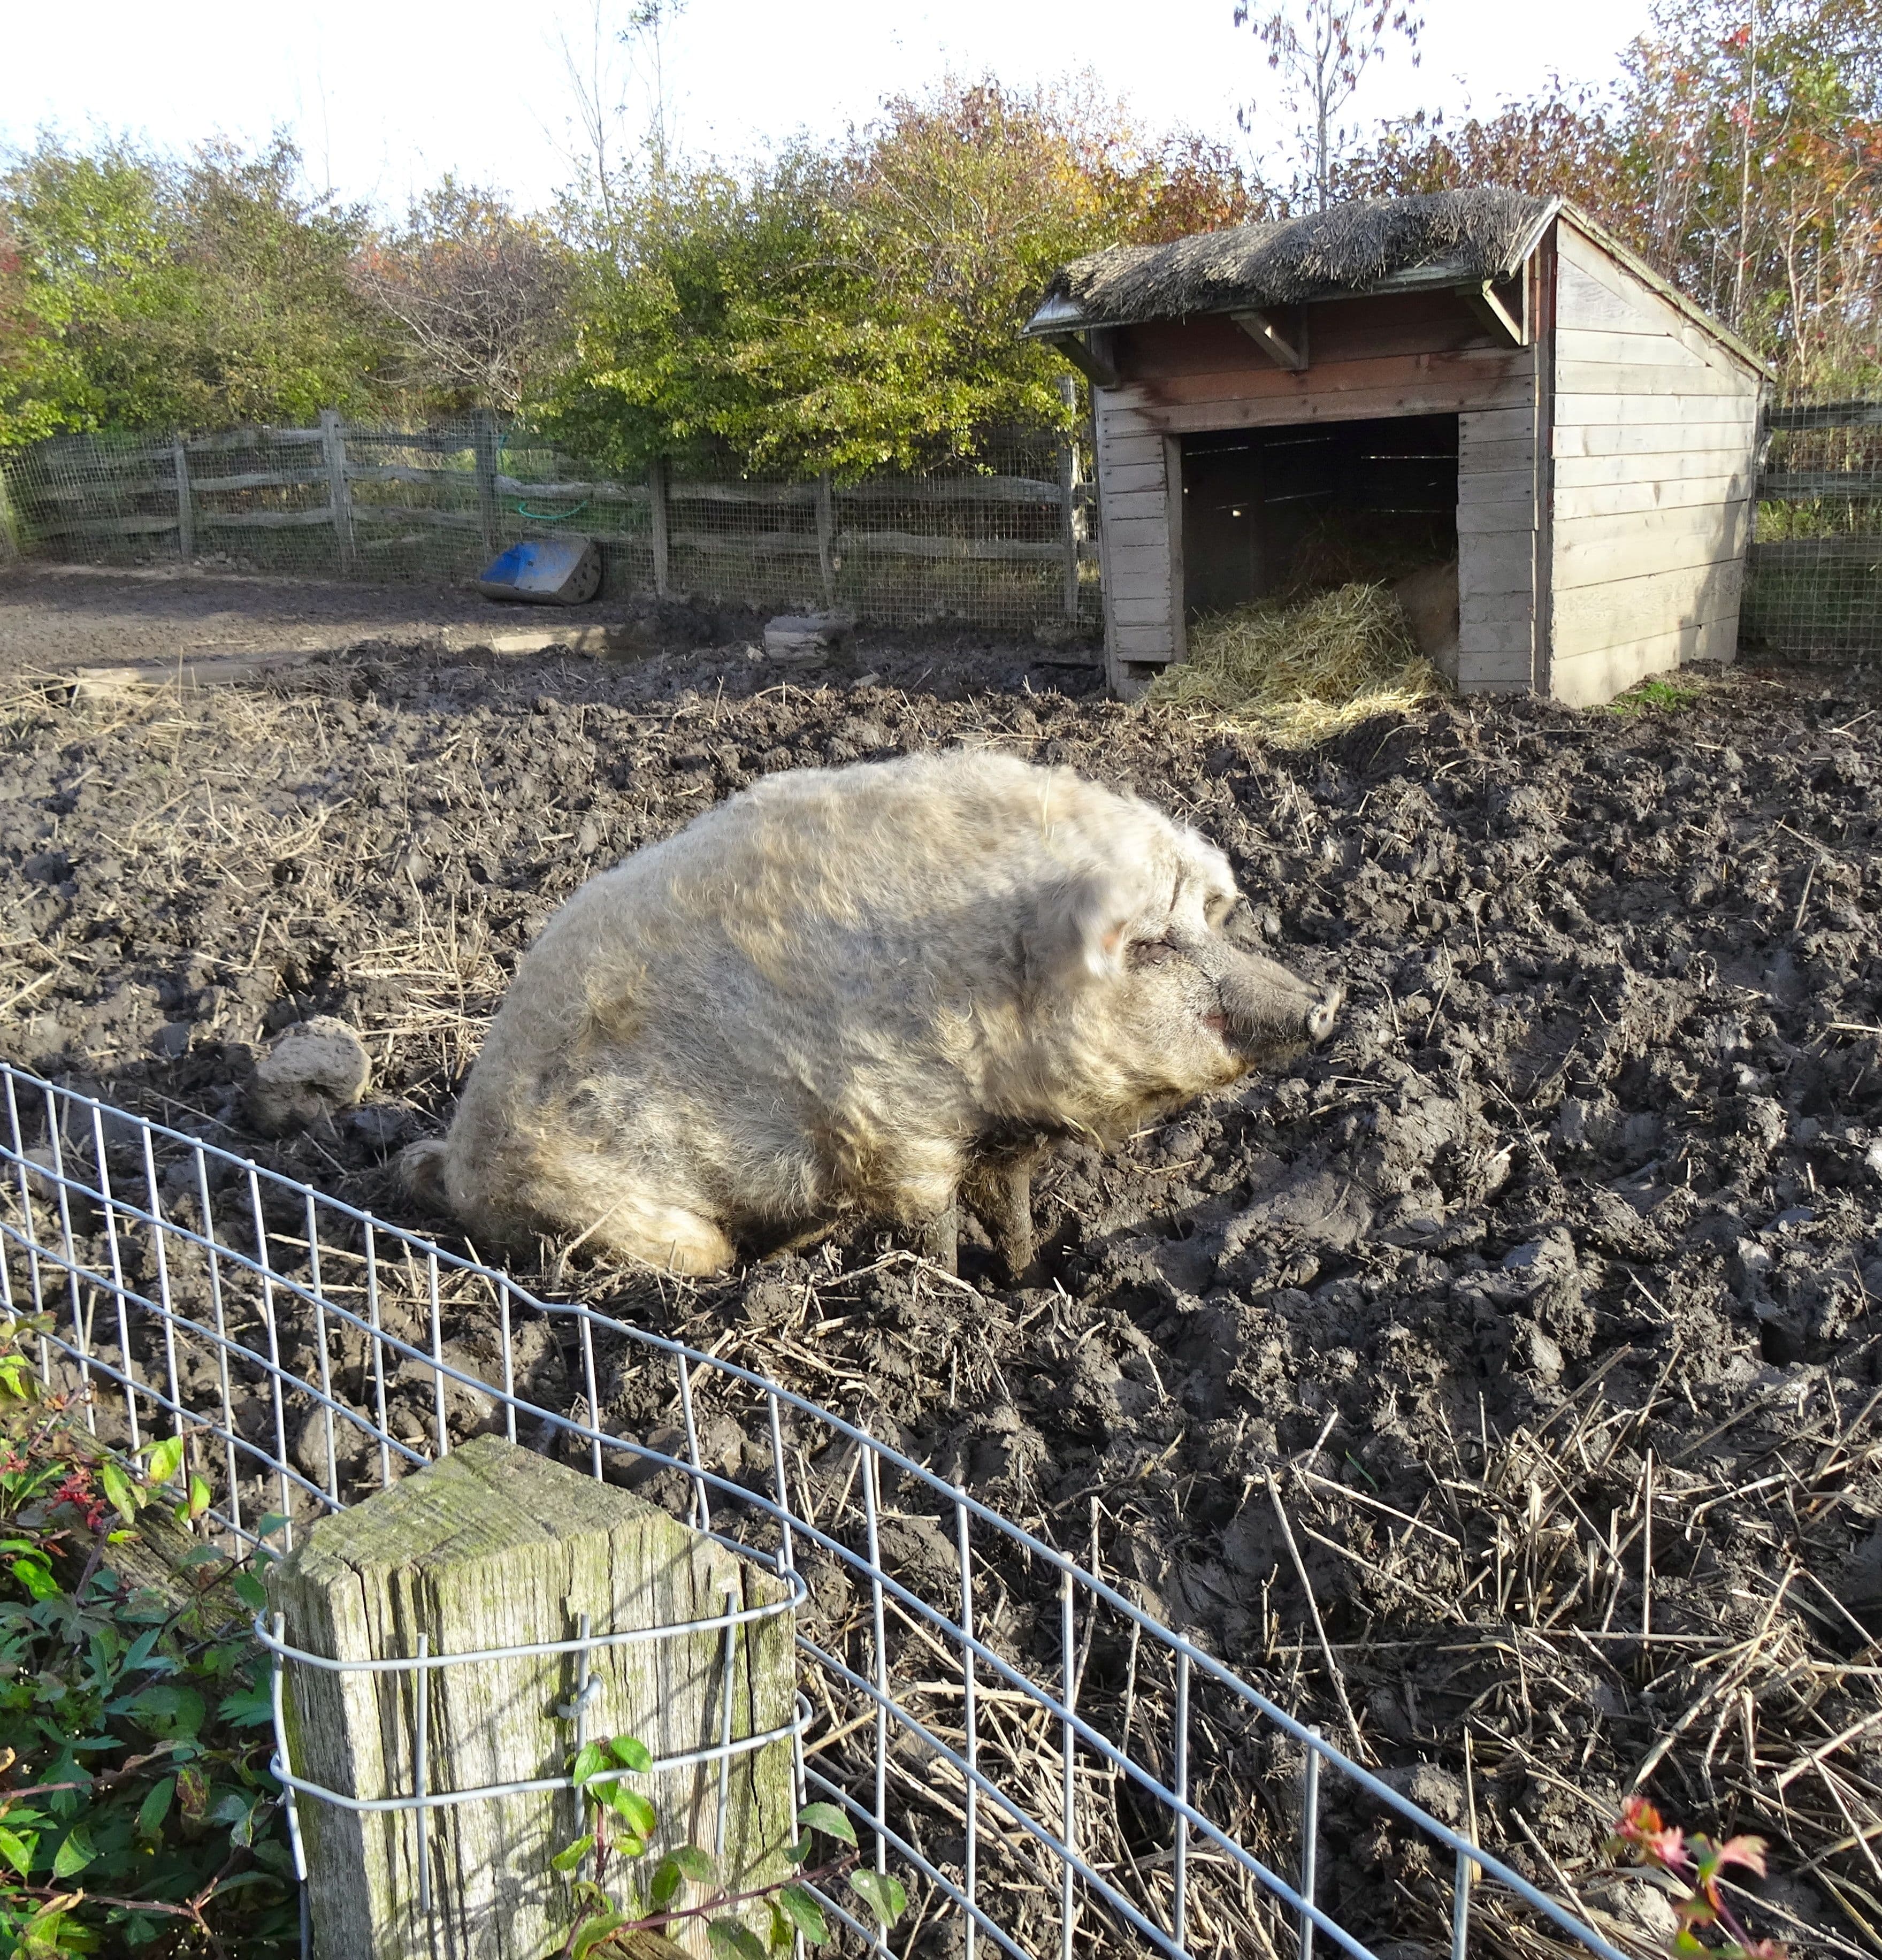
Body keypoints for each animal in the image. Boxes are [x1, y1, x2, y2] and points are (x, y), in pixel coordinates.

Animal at [401, 749, 1339, 1278]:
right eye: (1146, 944)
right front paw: (949, 1296)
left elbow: (1013, 1209)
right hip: (624, 1215)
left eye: (1209, 918)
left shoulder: (1002, 1138)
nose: (1326, 1002)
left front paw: (1030, 1282)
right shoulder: (893, 1118)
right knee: (697, 1257)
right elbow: (932, 1222)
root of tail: (454, 1163)